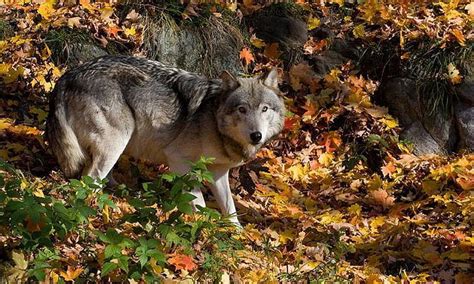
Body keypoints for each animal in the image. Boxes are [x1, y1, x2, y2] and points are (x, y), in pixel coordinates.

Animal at [46, 55, 286, 227]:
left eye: (264, 109)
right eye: (242, 109)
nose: (256, 136)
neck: (213, 120)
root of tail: (67, 76)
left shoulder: (218, 173)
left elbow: (230, 209)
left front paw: (236, 236)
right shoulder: (178, 160)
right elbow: (198, 201)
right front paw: (200, 226)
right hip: (117, 141)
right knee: (89, 181)